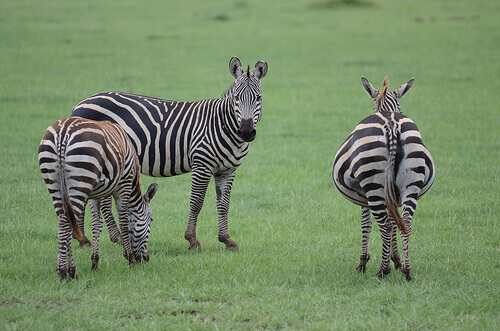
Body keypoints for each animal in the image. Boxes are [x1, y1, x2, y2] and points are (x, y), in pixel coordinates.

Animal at [38, 118, 157, 278]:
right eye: (151, 220)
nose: (146, 259)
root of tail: (63, 132)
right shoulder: (123, 185)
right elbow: (123, 223)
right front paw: (130, 258)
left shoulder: (95, 194)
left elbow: (96, 225)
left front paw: (95, 263)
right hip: (80, 180)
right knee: (66, 223)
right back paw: (65, 272)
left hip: (55, 185)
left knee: (64, 222)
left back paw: (69, 272)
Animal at [72, 56, 268, 252]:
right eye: (237, 98)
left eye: (258, 97)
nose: (246, 131)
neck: (222, 124)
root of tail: (79, 104)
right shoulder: (202, 165)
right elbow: (196, 203)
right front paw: (192, 240)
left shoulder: (227, 170)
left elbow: (224, 205)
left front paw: (227, 240)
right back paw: (109, 237)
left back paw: (87, 239)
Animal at [332, 76, 434, 282]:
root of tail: (391, 123)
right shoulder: (393, 195)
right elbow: (396, 222)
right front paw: (397, 260)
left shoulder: (364, 197)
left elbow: (366, 225)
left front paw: (363, 263)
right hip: (411, 183)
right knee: (406, 222)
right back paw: (407, 270)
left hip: (372, 186)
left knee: (384, 225)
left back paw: (382, 271)